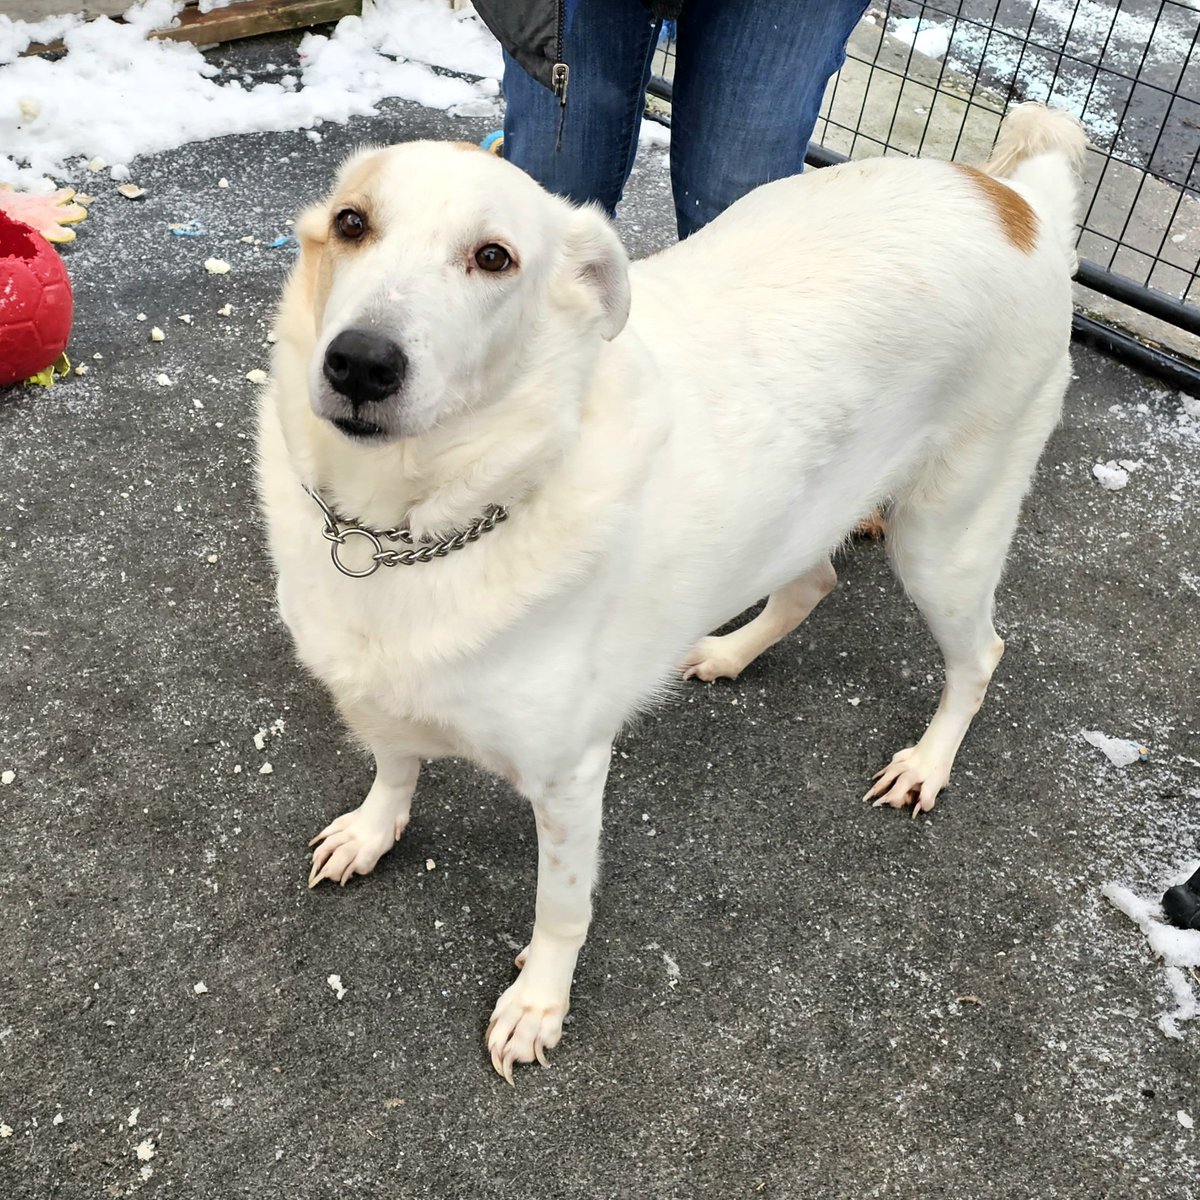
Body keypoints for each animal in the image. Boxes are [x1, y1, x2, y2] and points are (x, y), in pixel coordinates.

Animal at [255, 103, 1089, 1080]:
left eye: (494, 257)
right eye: (352, 222)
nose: (360, 363)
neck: (401, 530)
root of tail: (1011, 198)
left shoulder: (570, 776)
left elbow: (561, 908)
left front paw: (538, 1004)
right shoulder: (382, 691)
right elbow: (393, 764)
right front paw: (372, 829)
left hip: (945, 535)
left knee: (981, 654)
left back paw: (927, 761)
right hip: (800, 509)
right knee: (813, 581)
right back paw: (728, 651)